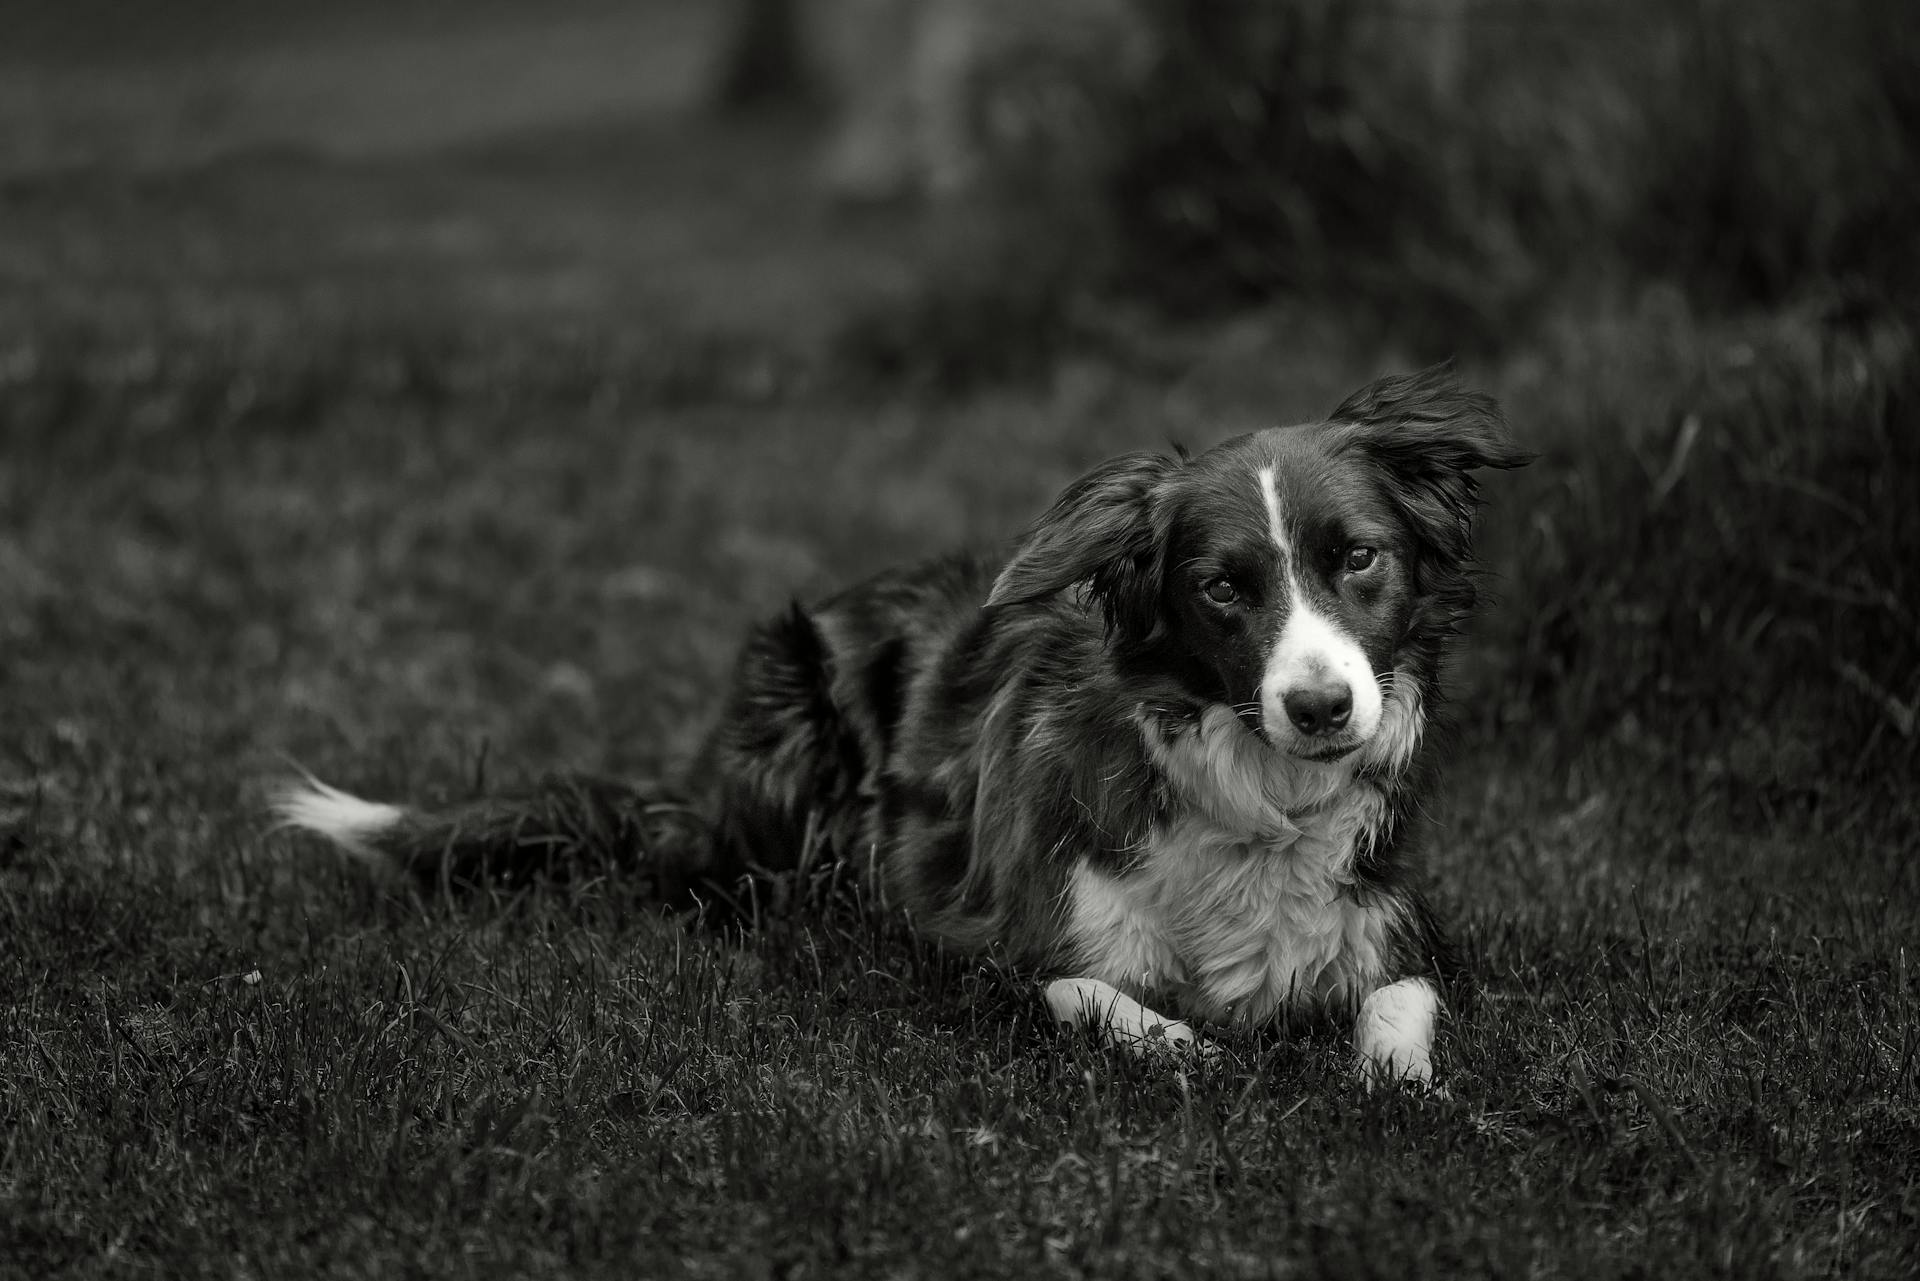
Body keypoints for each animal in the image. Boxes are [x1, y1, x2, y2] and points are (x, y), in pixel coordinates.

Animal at [274, 364, 1528, 1090]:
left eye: (1357, 558)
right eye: (1223, 588)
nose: (1321, 708)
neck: (1257, 802)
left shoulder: (1396, 923)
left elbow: (1408, 1004)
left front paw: (1392, 1078)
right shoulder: (994, 944)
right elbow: (1081, 995)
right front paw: (1186, 1048)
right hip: (790, 733)